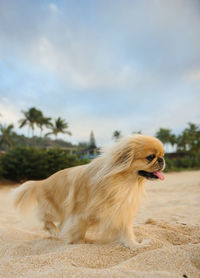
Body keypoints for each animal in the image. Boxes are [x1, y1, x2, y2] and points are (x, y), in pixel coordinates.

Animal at [12, 135, 166, 250]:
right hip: (54, 209)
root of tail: (41, 182)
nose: (162, 159)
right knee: (45, 219)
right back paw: (54, 231)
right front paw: (80, 243)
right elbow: (78, 232)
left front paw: (135, 246)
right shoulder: (79, 216)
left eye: (162, 155)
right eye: (150, 157)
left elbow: (126, 233)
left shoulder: (120, 212)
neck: (123, 182)